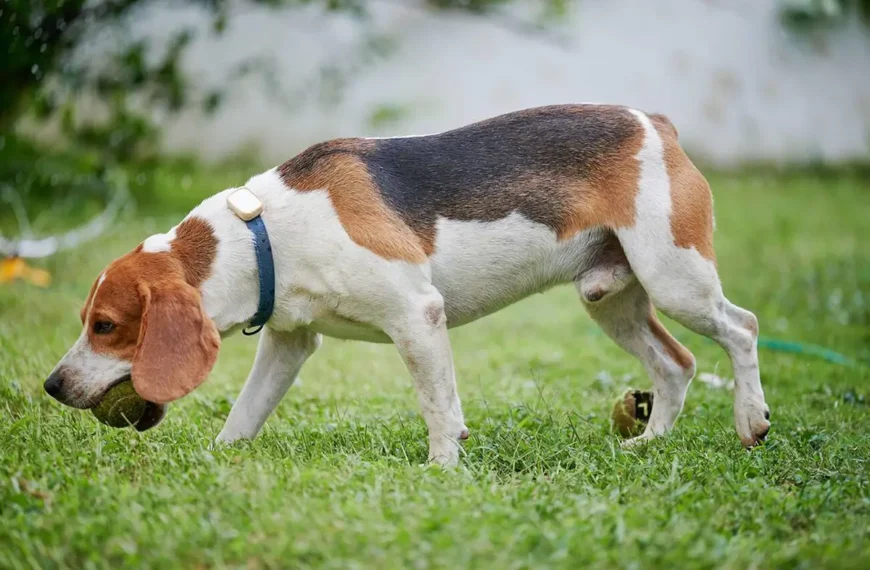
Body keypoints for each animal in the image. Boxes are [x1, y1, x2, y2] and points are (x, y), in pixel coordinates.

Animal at [44, 104, 772, 464]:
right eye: (85, 320)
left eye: (106, 326)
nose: (51, 386)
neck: (265, 233)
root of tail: (655, 124)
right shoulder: (289, 341)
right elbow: (245, 413)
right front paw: (215, 461)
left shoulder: (417, 315)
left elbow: (438, 409)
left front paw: (443, 471)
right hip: (611, 300)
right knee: (676, 364)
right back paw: (649, 444)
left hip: (676, 278)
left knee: (742, 328)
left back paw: (751, 418)